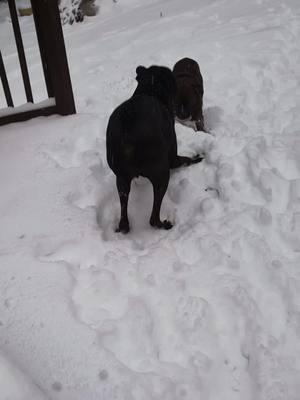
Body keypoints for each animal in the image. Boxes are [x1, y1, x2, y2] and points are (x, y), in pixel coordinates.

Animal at [106, 65, 203, 233]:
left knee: (124, 218)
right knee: (153, 218)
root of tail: (128, 132)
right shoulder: (173, 157)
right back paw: (165, 224)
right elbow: (185, 159)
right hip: (161, 174)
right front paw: (198, 157)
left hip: (121, 179)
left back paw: (124, 227)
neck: (150, 90)